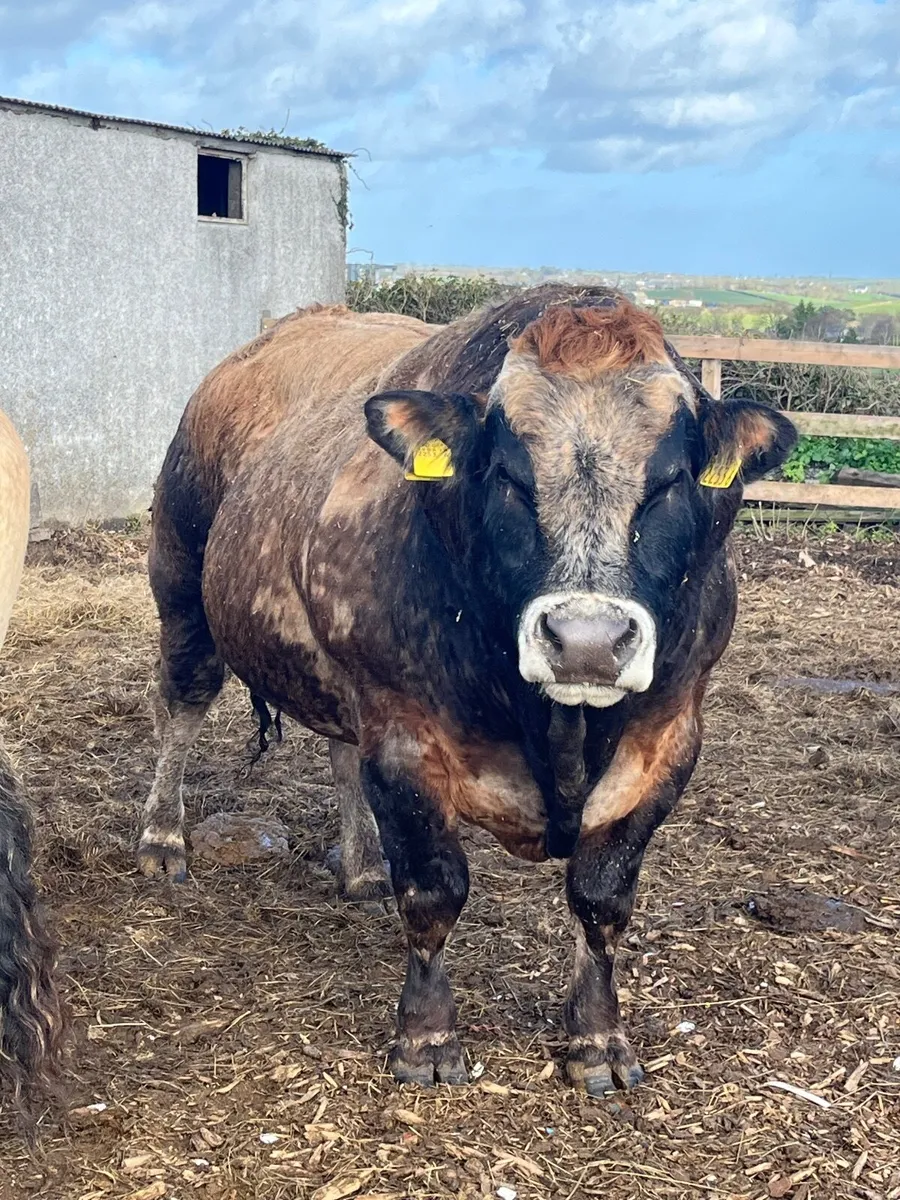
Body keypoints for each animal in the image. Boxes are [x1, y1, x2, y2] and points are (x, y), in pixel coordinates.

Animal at [144, 286, 796, 1095]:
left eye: (671, 479)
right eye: (508, 475)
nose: (586, 639)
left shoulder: (669, 738)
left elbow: (603, 896)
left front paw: (599, 1039)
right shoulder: (403, 733)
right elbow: (434, 891)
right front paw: (425, 1038)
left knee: (338, 751)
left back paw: (362, 867)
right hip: (181, 583)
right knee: (181, 706)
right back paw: (163, 839)